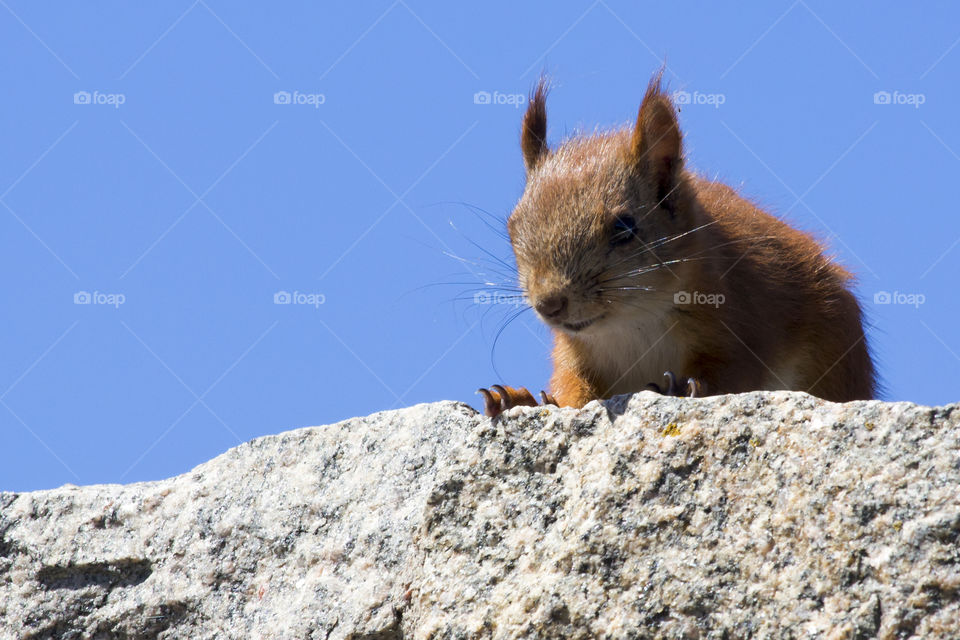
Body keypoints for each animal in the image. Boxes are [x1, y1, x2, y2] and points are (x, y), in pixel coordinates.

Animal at [478, 71, 876, 418]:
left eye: (624, 227)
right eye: (512, 228)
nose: (550, 304)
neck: (632, 324)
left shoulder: (743, 319)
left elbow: (734, 371)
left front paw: (684, 389)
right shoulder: (575, 355)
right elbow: (574, 390)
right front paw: (523, 401)